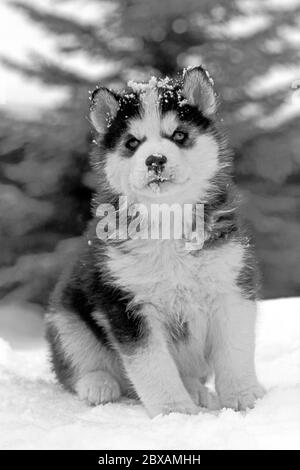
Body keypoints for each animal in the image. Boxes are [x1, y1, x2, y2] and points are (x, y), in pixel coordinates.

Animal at [45, 67, 264, 418]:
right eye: (132, 143)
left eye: (179, 135)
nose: (155, 160)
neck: (167, 218)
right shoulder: (126, 303)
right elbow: (152, 363)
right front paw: (174, 410)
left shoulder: (231, 284)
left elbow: (235, 350)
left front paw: (243, 397)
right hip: (65, 318)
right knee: (76, 365)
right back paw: (98, 385)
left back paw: (196, 390)